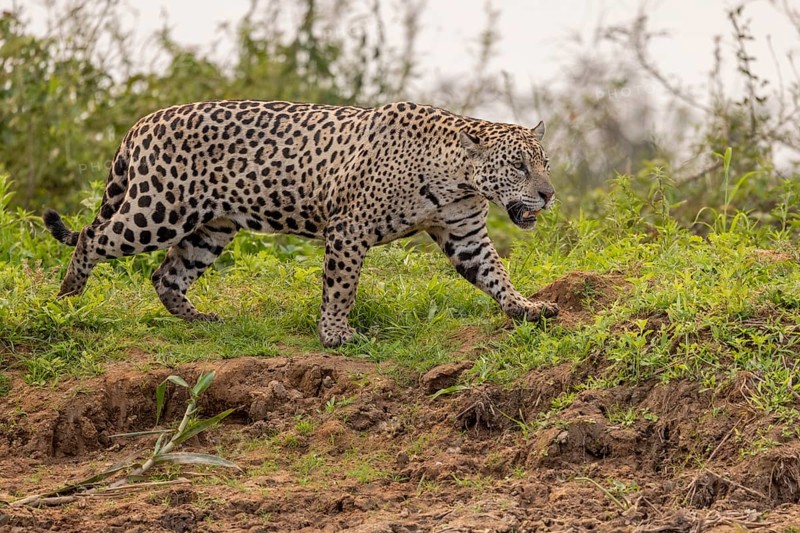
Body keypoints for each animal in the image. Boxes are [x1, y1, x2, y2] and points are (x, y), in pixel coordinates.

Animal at [43, 100, 559, 347]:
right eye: (518, 167)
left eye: (545, 163)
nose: (549, 194)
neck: (459, 180)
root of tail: (142, 122)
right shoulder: (349, 228)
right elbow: (341, 287)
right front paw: (335, 335)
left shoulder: (465, 234)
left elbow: (496, 274)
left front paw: (526, 308)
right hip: (159, 210)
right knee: (94, 237)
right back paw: (67, 293)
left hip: (212, 227)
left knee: (166, 274)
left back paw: (203, 320)